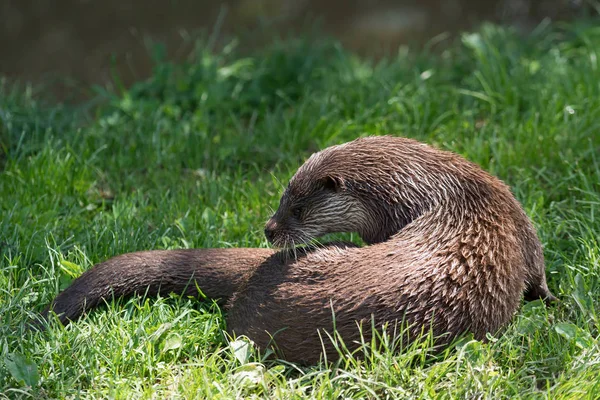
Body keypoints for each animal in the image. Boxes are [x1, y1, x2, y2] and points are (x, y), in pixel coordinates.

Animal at [39, 136, 556, 364]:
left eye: (298, 207)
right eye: (281, 197)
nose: (269, 229)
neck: (445, 192)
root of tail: (255, 282)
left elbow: (539, 278)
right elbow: (538, 275)